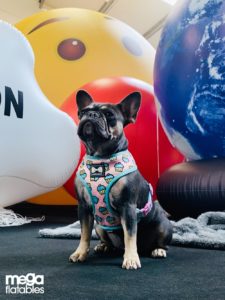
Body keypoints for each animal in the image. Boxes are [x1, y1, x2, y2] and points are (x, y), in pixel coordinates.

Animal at [70, 89, 172, 270]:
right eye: (82, 112)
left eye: (109, 115)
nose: (91, 114)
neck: (100, 158)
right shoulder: (83, 207)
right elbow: (84, 233)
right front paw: (80, 253)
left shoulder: (128, 207)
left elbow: (130, 235)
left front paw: (131, 259)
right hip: (99, 226)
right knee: (108, 240)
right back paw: (104, 246)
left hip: (163, 226)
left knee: (159, 242)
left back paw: (158, 250)